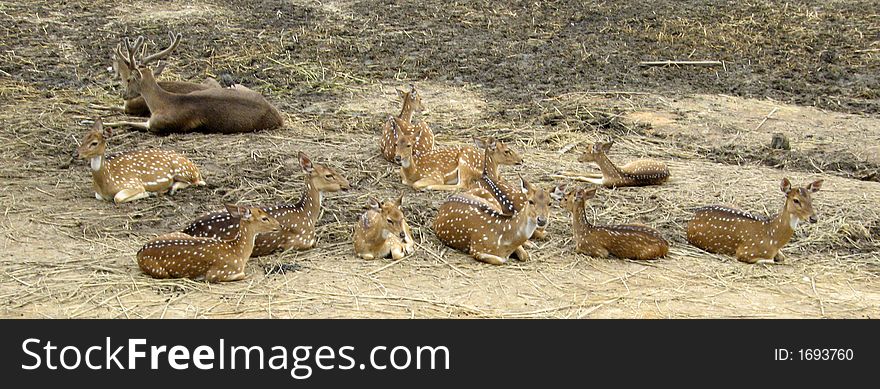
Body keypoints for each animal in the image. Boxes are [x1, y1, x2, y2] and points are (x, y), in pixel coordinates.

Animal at [76, 117, 206, 203]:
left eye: (94, 143)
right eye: (82, 139)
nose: (76, 154)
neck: (106, 182)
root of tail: (196, 170)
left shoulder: (132, 183)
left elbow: (118, 198)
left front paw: (148, 193)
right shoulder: (98, 194)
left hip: (182, 170)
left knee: (197, 182)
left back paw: (169, 189)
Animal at [102, 33, 284, 133]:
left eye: (130, 79)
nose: (124, 95)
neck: (161, 104)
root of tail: (279, 118)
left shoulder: (158, 125)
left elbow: (124, 121)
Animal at [138, 203, 278, 282]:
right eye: (264, 218)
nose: (279, 225)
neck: (238, 252)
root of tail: (139, 253)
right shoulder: (217, 272)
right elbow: (242, 275)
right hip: (160, 271)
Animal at [180, 152, 348, 258]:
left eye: (334, 169)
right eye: (328, 175)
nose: (347, 184)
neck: (306, 213)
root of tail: (188, 230)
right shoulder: (302, 239)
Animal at [688, 178, 824, 264]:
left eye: (811, 199)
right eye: (796, 200)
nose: (813, 218)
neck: (773, 238)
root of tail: (693, 215)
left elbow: (782, 257)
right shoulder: (744, 252)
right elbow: (770, 260)